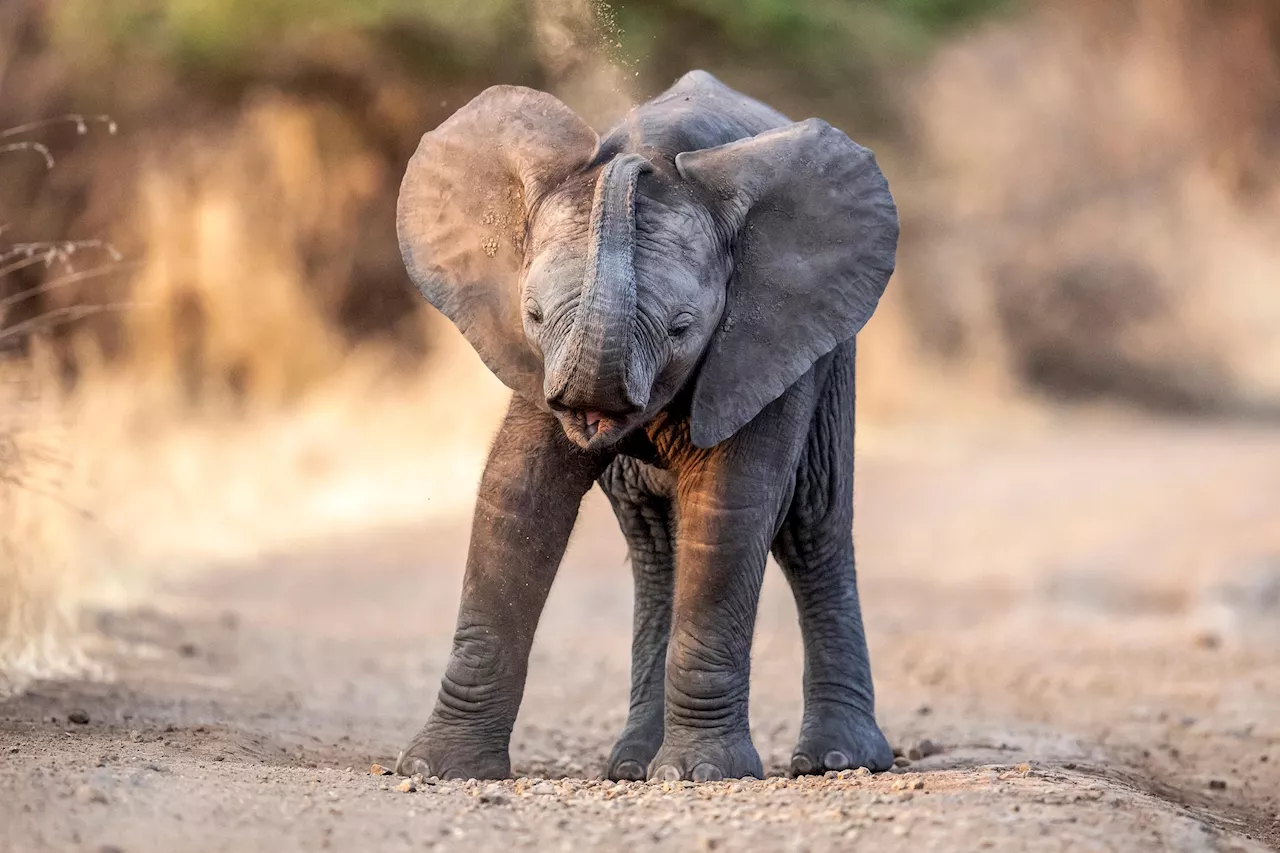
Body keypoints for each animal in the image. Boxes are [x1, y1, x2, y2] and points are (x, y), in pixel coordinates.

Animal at [394, 71, 896, 778]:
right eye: (533, 313)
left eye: (684, 327)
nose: (632, 163)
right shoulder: (536, 364)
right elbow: (519, 495)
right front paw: (438, 770)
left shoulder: (764, 338)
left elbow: (730, 506)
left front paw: (703, 775)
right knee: (655, 542)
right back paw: (632, 766)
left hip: (830, 350)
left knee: (810, 524)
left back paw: (837, 762)